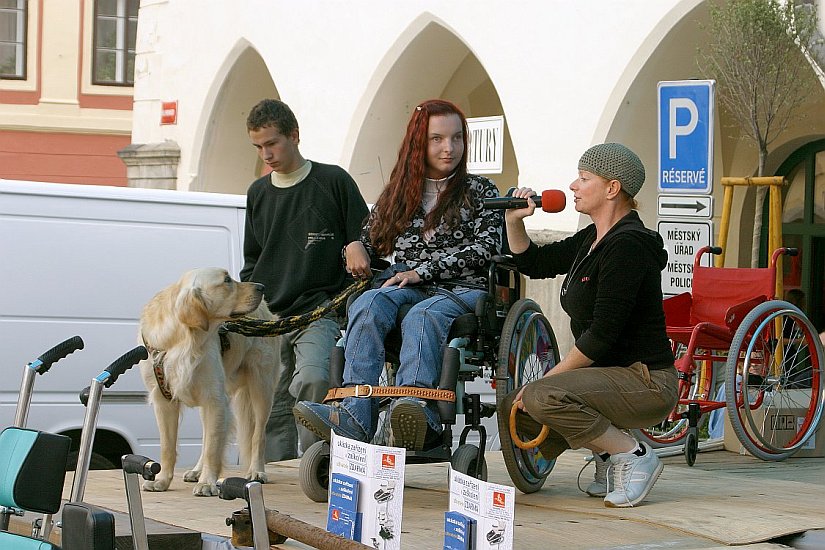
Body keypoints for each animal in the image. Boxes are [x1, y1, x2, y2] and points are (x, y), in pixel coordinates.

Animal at [136, 270, 276, 498]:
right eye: (227, 280)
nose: (262, 287)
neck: (182, 339)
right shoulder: (163, 400)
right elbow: (168, 447)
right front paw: (162, 481)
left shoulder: (216, 399)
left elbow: (213, 448)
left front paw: (207, 483)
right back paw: (196, 470)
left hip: (261, 387)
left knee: (258, 435)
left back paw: (256, 471)